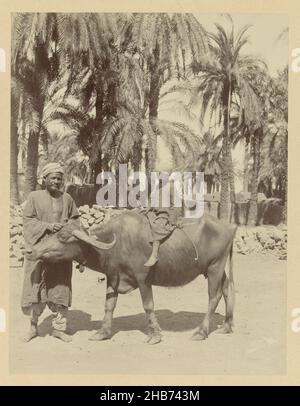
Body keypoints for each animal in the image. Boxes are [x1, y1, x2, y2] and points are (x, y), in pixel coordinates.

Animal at [29, 211, 237, 344]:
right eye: (53, 233)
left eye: (63, 237)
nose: (31, 250)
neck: (114, 243)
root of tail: (230, 226)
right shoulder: (113, 277)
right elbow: (109, 305)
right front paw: (102, 333)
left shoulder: (143, 278)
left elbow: (148, 305)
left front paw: (154, 335)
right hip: (217, 269)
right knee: (227, 290)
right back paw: (226, 326)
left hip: (215, 267)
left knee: (214, 296)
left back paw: (201, 332)